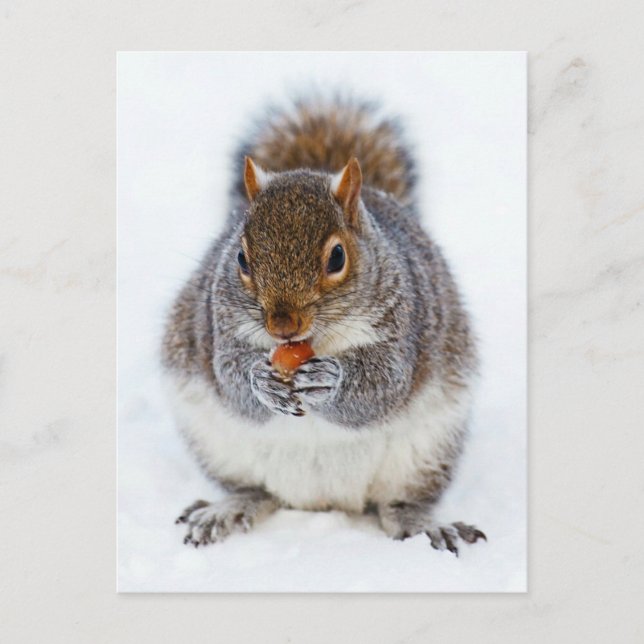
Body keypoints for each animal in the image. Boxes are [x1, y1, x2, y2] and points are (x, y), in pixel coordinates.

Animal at [162, 98, 486, 555]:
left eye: (337, 257)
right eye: (241, 258)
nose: (282, 325)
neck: (313, 341)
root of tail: (323, 500)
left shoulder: (405, 325)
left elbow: (384, 386)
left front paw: (329, 381)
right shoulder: (218, 325)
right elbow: (230, 379)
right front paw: (261, 380)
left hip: (426, 452)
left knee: (399, 504)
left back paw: (424, 525)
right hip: (216, 444)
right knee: (256, 491)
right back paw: (227, 509)